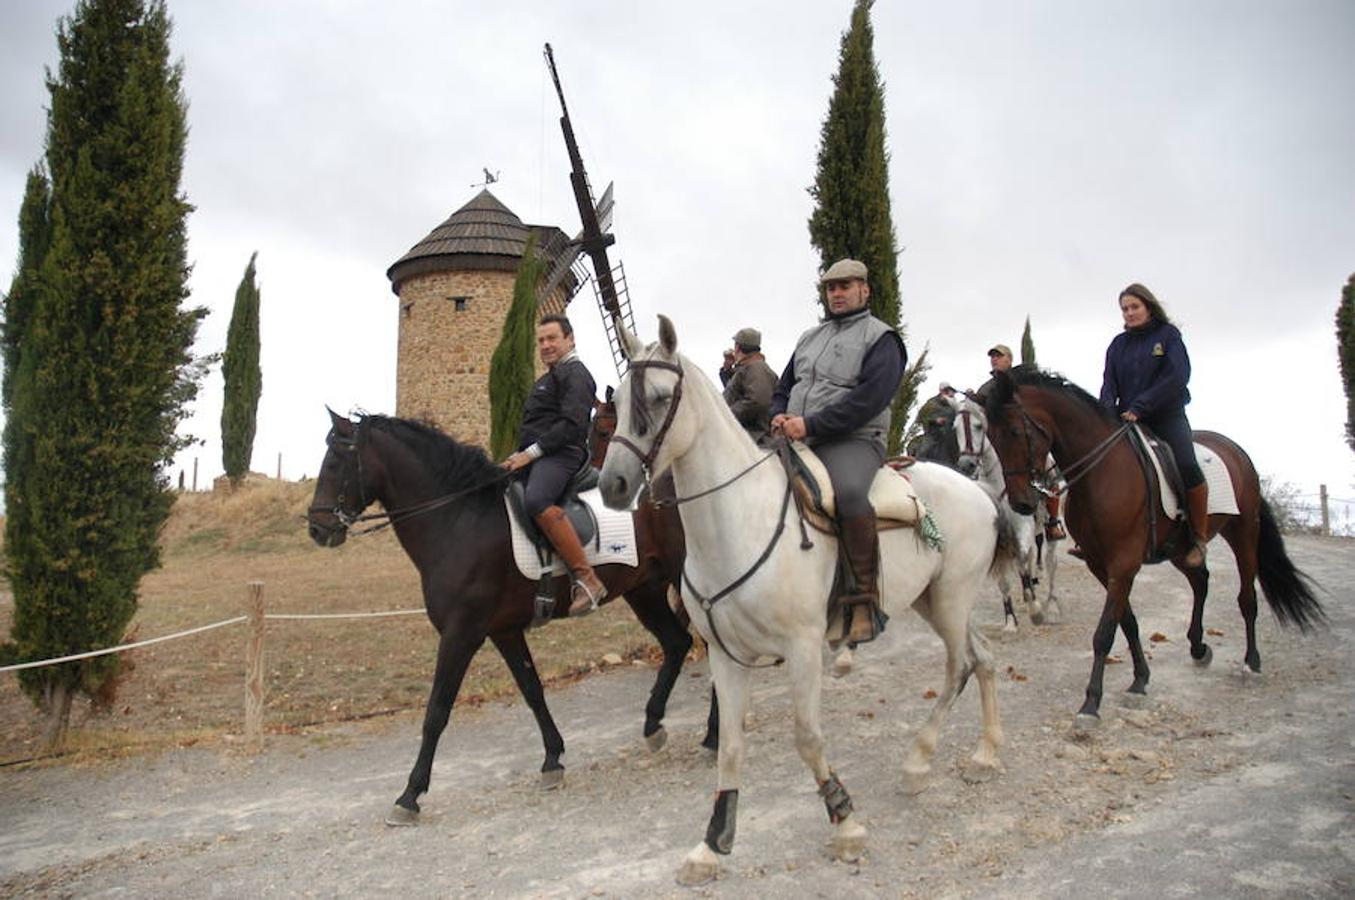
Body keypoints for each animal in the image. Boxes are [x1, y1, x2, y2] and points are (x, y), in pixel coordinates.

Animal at [307, 409, 699, 824]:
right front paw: (552, 760)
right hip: (645, 591)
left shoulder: (461, 634)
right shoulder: (504, 631)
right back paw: (654, 725)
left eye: (334, 463)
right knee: (678, 643)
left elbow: (436, 712)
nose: (316, 528)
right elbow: (533, 691)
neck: (459, 519)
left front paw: (410, 795)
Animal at [601, 318, 1008, 883]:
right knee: (983, 659)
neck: (738, 521)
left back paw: (920, 761)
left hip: (951, 602)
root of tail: (975, 489)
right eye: (616, 403)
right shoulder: (726, 657)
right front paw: (712, 843)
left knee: (959, 668)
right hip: (938, 601)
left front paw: (845, 823)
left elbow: (807, 737)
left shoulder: (802, 648)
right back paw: (982, 755)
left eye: (661, 398)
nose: (612, 484)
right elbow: (730, 746)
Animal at [948, 393, 1062, 626]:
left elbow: (1022, 559)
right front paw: (1011, 619)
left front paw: (1035, 609)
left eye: (979, 426)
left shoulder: (1022, 525)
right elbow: (1004, 579)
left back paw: (1052, 604)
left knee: (1050, 560)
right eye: (955, 428)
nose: (966, 465)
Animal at [986, 368, 1322, 726]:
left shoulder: (1123, 564)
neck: (1102, 472)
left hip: (1243, 533)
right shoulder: (1100, 564)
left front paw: (1090, 704)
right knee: (1201, 581)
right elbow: (1127, 622)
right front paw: (1139, 680)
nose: (1021, 503)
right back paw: (1198, 648)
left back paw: (1251, 662)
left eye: (1015, 431)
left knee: (1247, 597)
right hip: (1179, 549)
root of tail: (1237, 451)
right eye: (992, 437)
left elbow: (1105, 632)